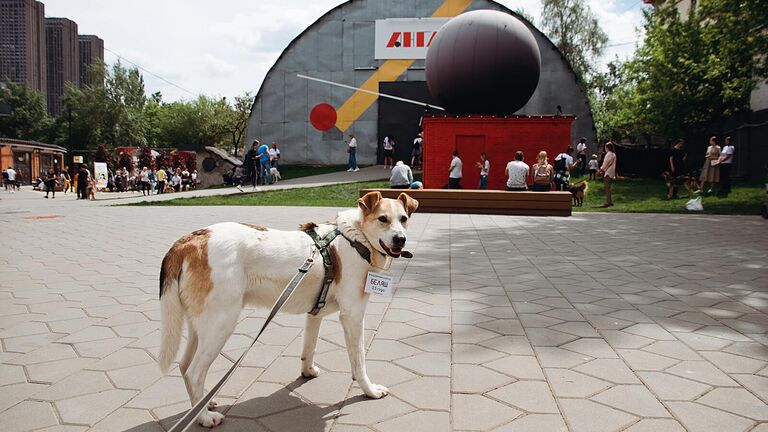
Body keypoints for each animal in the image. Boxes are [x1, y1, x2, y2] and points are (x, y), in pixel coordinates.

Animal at [158, 191, 416, 426]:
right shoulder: (352, 315)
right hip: (221, 323)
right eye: (382, 219)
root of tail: (188, 241)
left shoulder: (315, 313)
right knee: (194, 372)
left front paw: (307, 371)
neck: (357, 238)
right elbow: (359, 361)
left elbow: (309, 348)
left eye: (404, 219)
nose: (400, 239)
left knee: (184, 366)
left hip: (200, 326)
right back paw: (203, 417)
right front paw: (369, 390)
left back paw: (202, 404)